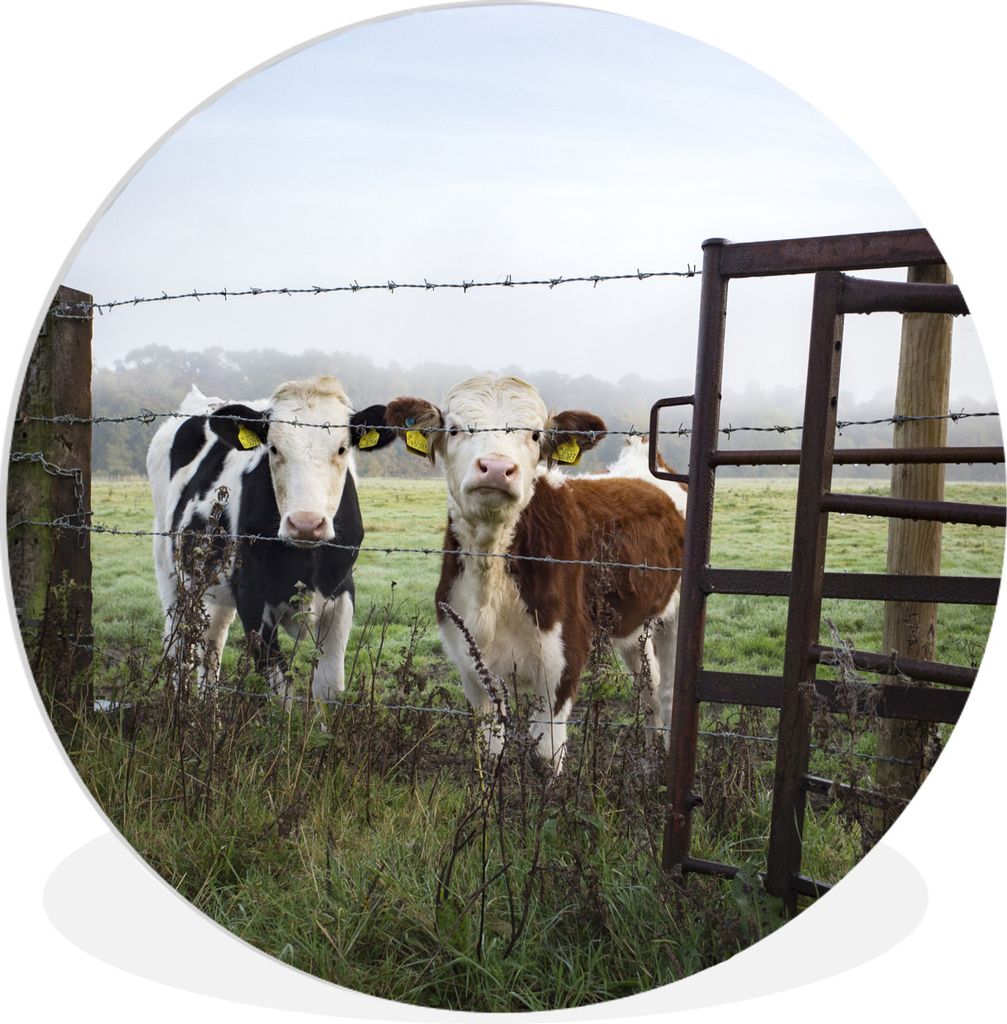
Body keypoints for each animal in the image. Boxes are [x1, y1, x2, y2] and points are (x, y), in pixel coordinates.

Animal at [146, 375, 395, 700]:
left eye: (342, 449)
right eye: (273, 449)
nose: (305, 523)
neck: (303, 561)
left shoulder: (341, 591)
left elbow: (329, 685)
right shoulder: (251, 594)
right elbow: (280, 687)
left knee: (212, 642)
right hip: (171, 570)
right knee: (179, 643)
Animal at [384, 375, 685, 772]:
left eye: (535, 434)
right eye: (454, 428)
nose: (496, 468)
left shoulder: (563, 660)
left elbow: (546, 756)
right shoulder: (471, 664)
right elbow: (489, 750)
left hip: (677, 615)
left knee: (667, 689)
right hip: (633, 624)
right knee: (648, 684)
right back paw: (650, 762)